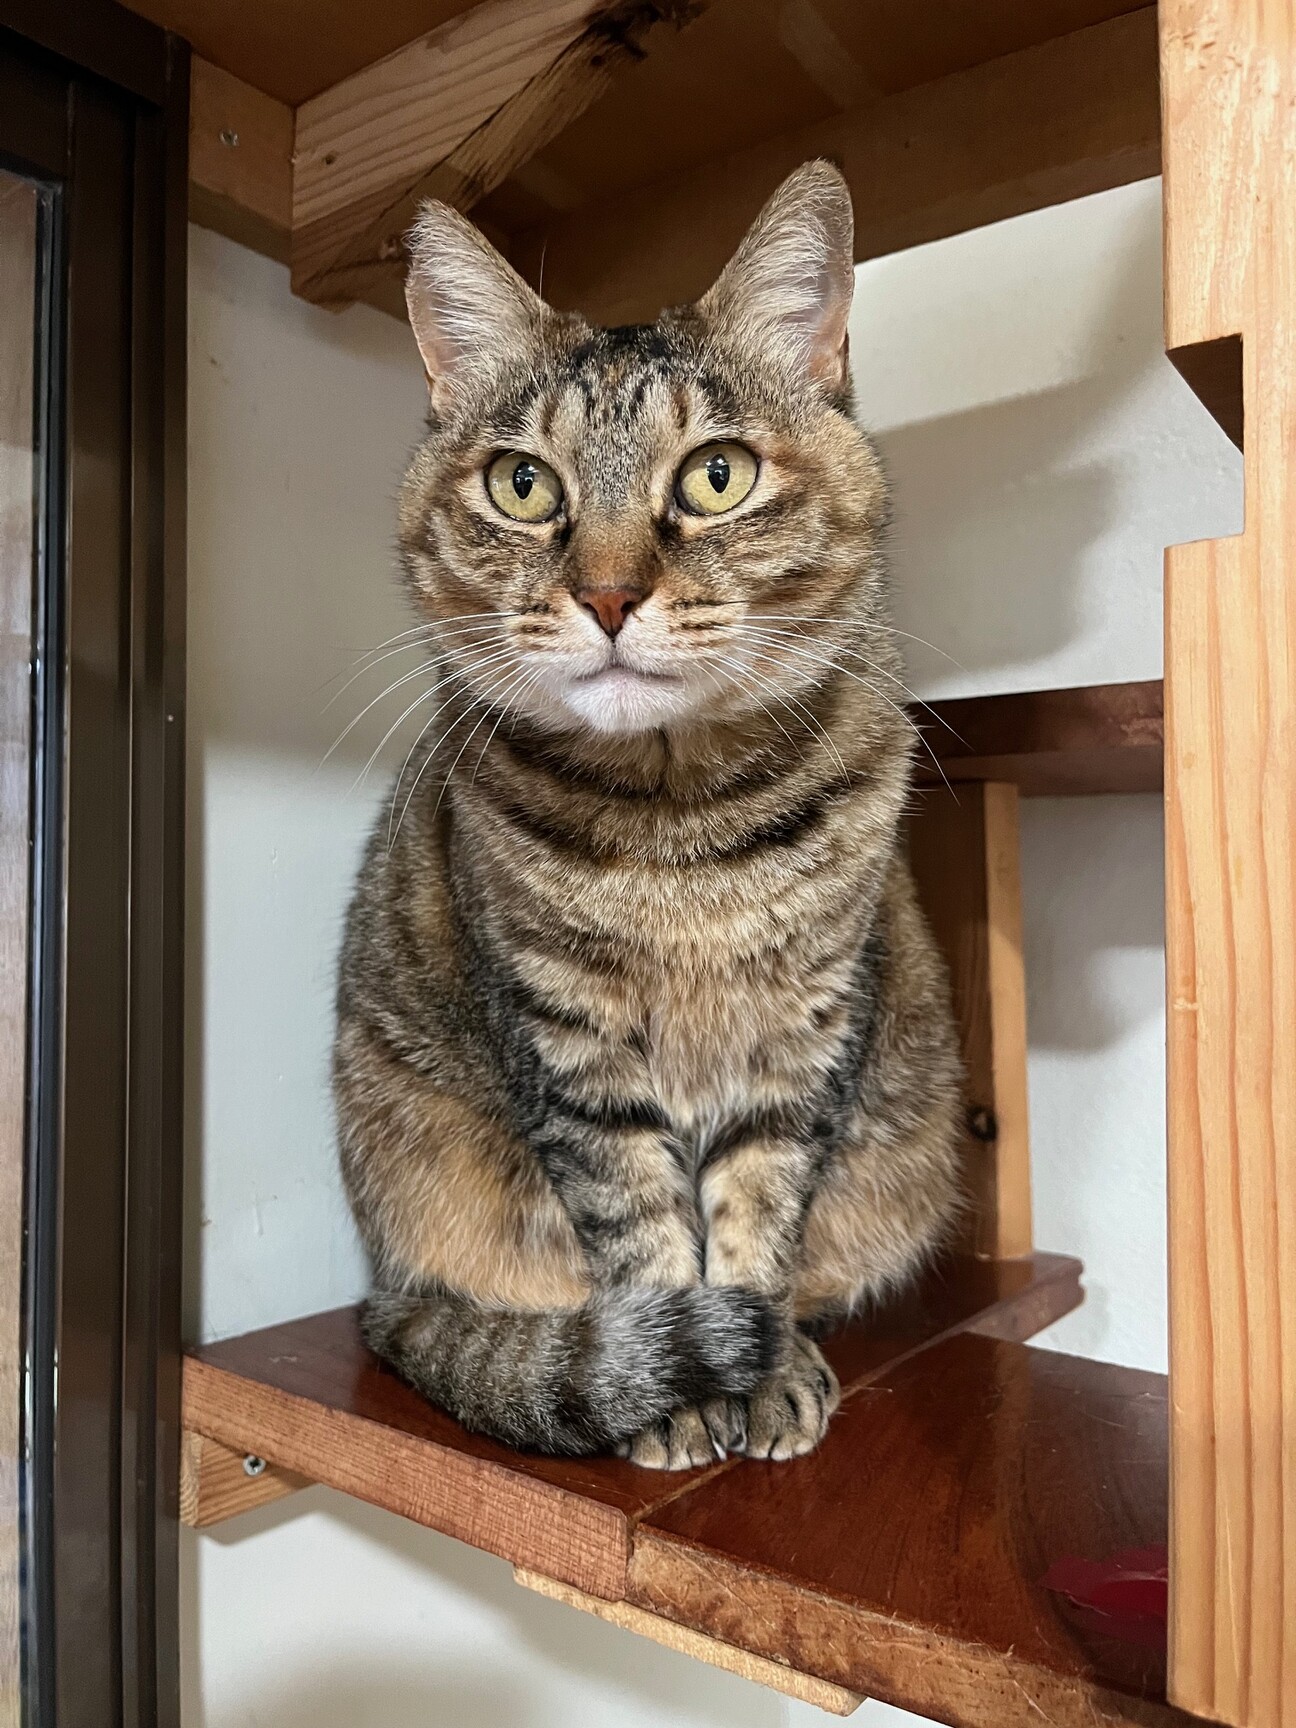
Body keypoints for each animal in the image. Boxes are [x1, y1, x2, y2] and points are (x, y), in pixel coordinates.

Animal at [334, 159, 962, 1469]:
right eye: (522, 484)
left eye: (716, 474)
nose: (611, 594)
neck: (683, 836)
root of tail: (381, 1280)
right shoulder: (568, 1046)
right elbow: (641, 1226)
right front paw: (677, 1387)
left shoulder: (807, 1036)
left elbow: (761, 1212)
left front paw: (763, 1363)